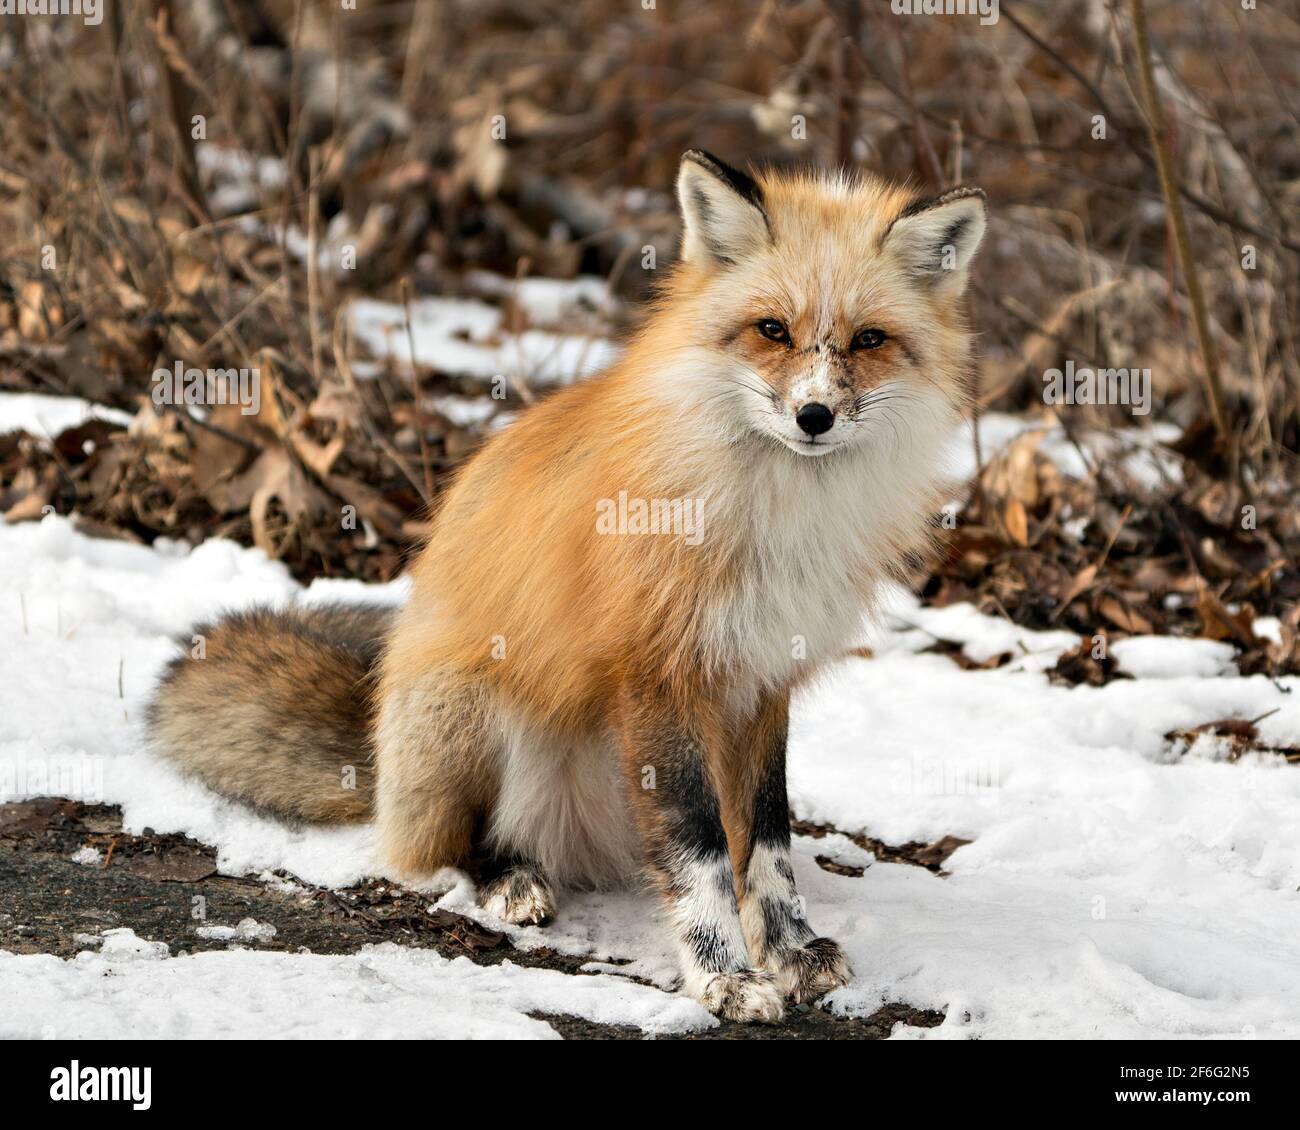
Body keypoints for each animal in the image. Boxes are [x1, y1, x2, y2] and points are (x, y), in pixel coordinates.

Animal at [147, 152, 982, 1024]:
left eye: (869, 339)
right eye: (772, 330)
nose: (814, 416)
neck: (775, 513)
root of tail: (375, 744)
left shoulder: (760, 679)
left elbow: (767, 842)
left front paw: (788, 950)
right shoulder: (660, 673)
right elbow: (699, 854)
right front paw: (722, 976)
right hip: (473, 710)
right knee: (444, 847)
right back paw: (509, 878)